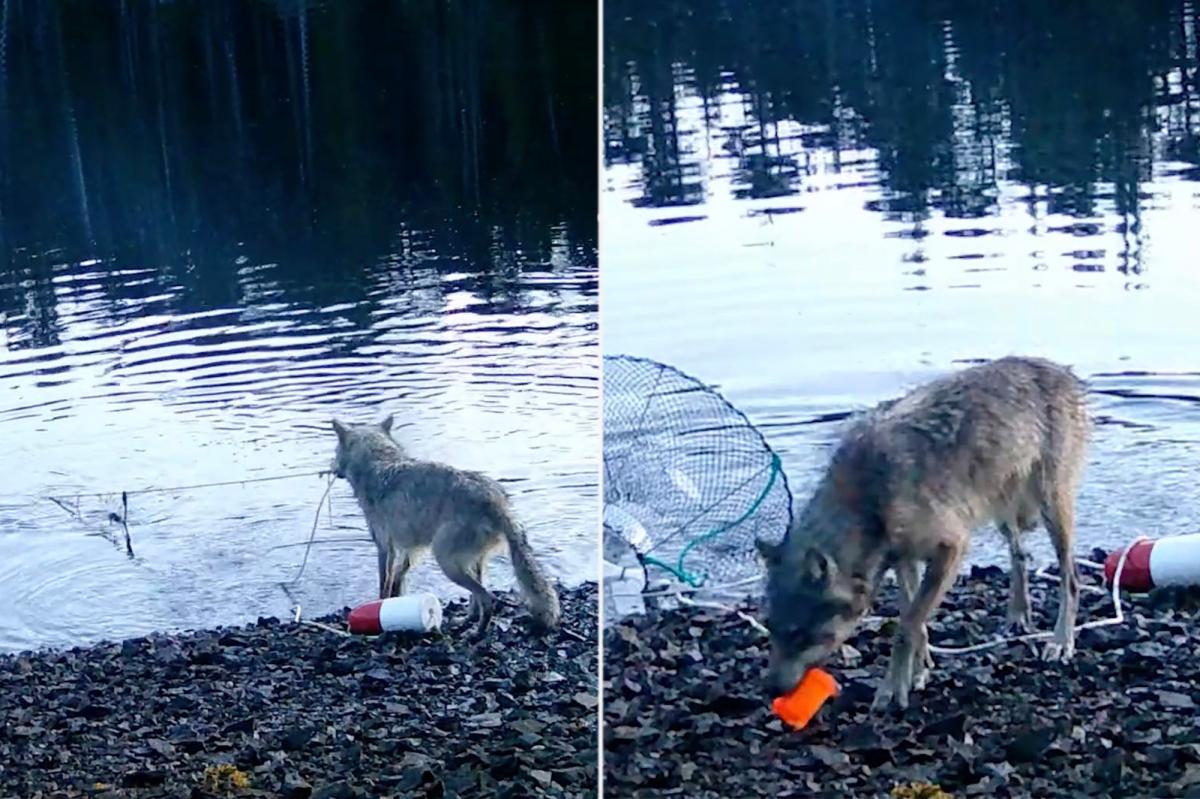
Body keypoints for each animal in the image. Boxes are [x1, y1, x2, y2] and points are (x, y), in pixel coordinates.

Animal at [329, 415, 561, 639]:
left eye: (335, 451)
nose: (331, 468)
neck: (379, 462)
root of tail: (497, 502)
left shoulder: (385, 547)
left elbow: (384, 584)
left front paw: (380, 606)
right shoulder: (411, 549)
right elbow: (398, 578)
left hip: (446, 561)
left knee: (488, 598)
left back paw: (476, 633)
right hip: (471, 562)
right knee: (477, 598)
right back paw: (466, 621)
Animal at [757, 356, 1089, 710]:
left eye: (800, 635)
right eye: (771, 629)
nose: (771, 690)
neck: (868, 501)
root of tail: (1059, 369)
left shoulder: (951, 549)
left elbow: (907, 625)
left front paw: (892, 689)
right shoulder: (904, 559)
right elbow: (915, 621)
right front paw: (918, 673)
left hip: (1051, 507)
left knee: (1070, 577)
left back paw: (1060, 642)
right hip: (1001, 511)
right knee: (1020, 554)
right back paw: (1018, 614)